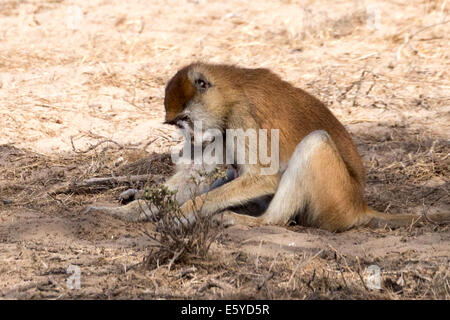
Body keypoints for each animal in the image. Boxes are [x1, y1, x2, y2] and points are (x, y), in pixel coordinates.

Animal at [86, 63, 448, 232]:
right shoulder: (221, 127)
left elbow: (264, 176)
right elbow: (199, 173)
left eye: (186, 119)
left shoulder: (240, 117)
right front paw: (122, 211)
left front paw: (181, 215)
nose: (188, 139)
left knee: (316, 143)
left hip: (335, 199)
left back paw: (259, 222)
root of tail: (359, 206)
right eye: (177, 124)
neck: (229, 91)